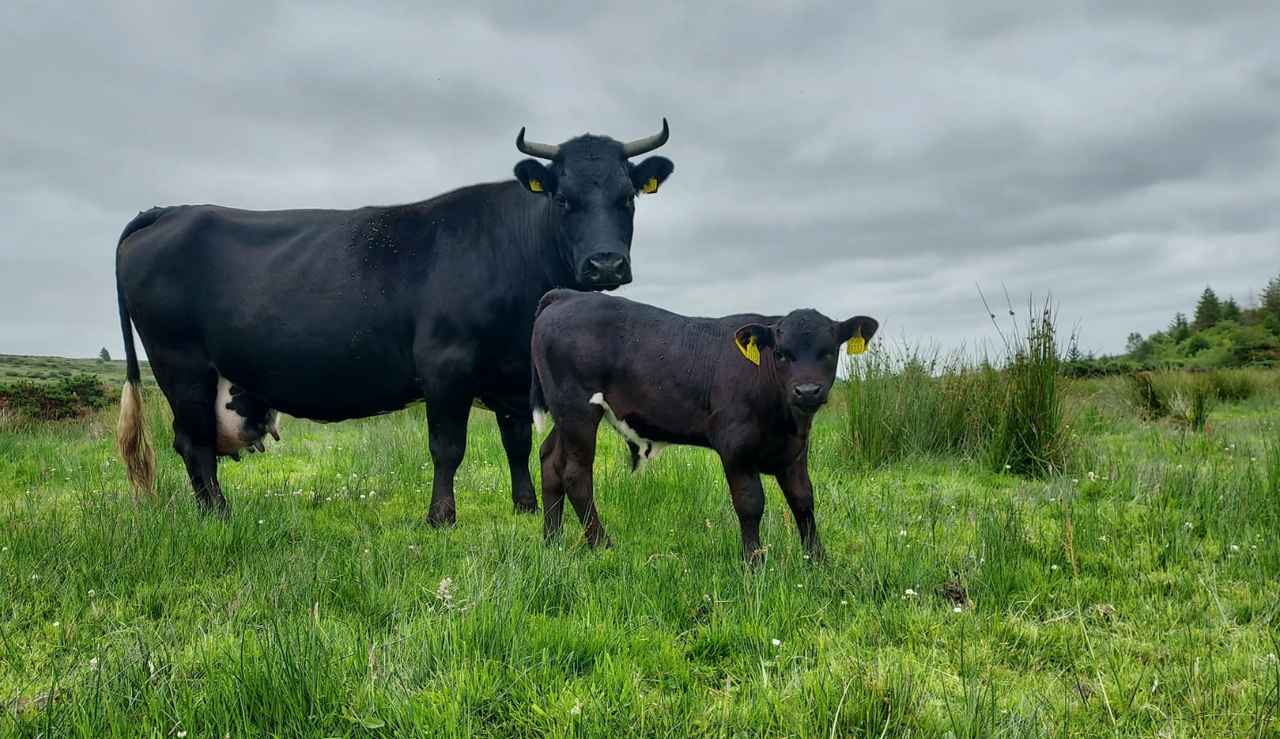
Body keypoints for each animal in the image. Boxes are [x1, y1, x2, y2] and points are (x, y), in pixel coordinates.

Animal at [114, 121, 675, 525]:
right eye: (563, 198)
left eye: (628, 197)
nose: (605, 264)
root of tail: (173, 210)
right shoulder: (446, 364)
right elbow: (447, 447)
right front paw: (441, 517)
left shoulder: (512, 374)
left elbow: (515, 443)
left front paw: (525, 507)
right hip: (180, 363)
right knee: (195, 443)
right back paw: (219, 517)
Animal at [529, 289, 879, 563]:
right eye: (780, 353)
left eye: (830, 352)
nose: (806, 390)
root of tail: (568, 295)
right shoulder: (735, 443)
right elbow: (750, 502)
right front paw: (754, 564)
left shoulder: (794, 450)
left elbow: (803, 501)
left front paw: (818, 561)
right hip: (578, 410)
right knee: (575, 474)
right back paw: (602, 547)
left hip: (565, 415)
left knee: (549, 459)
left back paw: (552, 542)